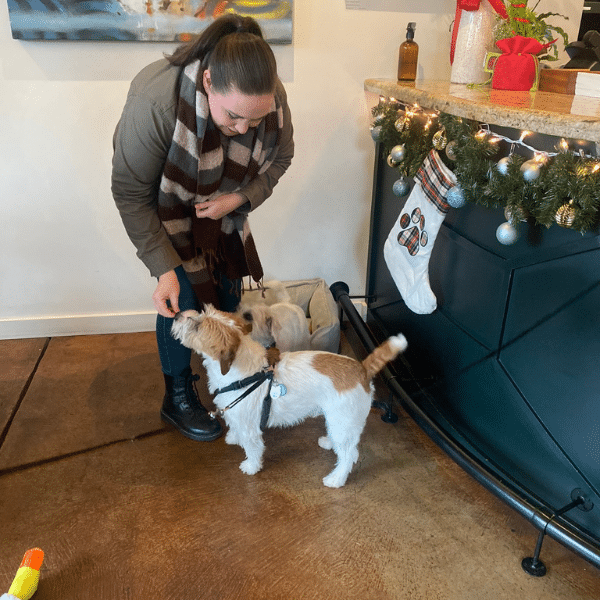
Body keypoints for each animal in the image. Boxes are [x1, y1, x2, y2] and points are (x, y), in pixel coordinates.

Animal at [173, 304, 408, 488]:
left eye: (197, 326)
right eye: (201, 311)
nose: (176, 314)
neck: (244, 373)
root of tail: (362, 368)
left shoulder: (250, 427)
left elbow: (253, 447)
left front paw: (251, 466)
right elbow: (236, 430)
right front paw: (233, 437)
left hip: (343, 421)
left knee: (349, 455)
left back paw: (336, 479)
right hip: (338, 421)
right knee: (349, 448)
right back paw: (330, 443)